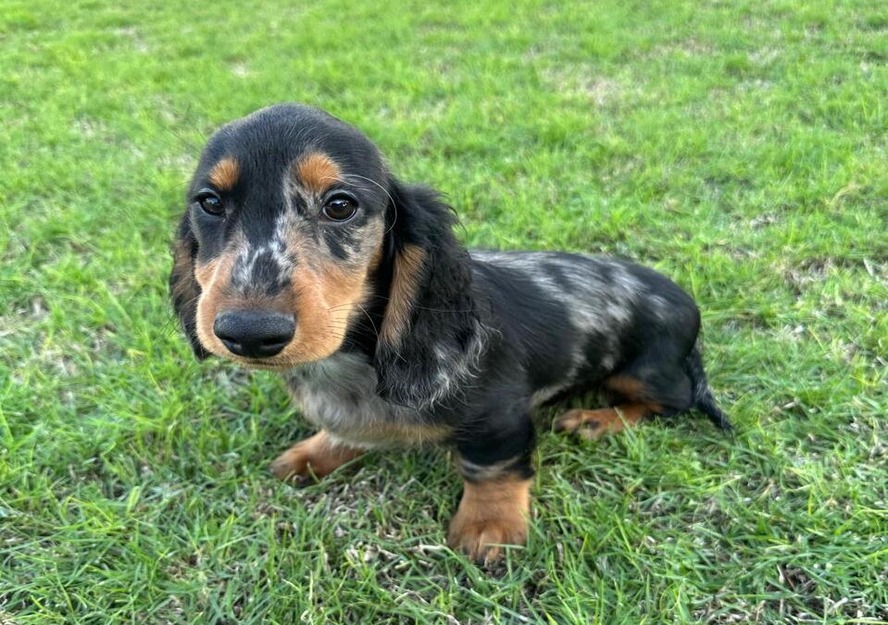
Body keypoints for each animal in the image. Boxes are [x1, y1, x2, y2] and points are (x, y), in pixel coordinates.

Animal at [170, 102, 732, 560]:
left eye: (340, 204)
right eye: (210, 203)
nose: (248, 331)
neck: (354, 357)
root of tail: (690, 306)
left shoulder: (500, 413)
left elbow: (491, 467)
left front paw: (488, 526)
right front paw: (315, 454)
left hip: (645, 371)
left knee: (672, 401)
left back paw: (598, 419)